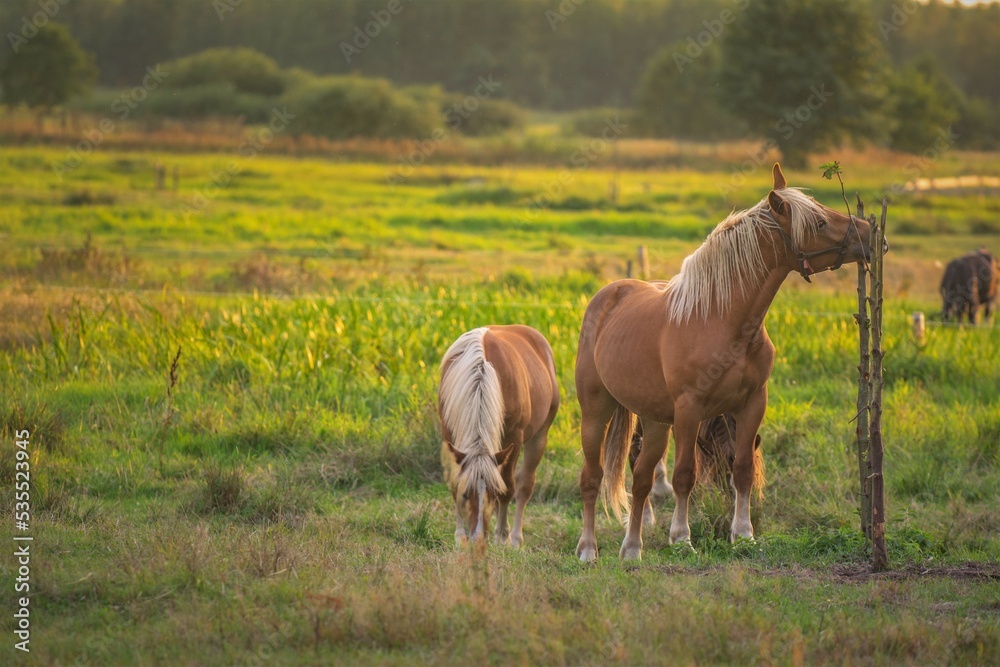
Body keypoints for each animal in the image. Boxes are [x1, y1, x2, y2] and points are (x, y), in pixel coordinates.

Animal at [439, 325, 559, 547]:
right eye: (466, 494)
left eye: (493, 493)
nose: (478, 536)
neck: (480, 374)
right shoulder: (448, 435)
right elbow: (454, 483)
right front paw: (460, 535)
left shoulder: (513, 439)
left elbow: (509, 487)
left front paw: (502, 535)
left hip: (539, 435)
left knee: (525, 485)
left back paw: (516, 538)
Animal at [575, 163, 879, 561]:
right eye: (819, 222)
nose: (871, 235)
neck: (721, 319)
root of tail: (608, 295)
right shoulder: (689, 410)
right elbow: (684, 476)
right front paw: (681, 538)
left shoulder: (752, 404)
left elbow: (743, 469)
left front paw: (744, 534)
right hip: (596, 410)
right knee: (592, 478)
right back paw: (588, 549)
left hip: (655, 421)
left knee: (640, 479)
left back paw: (632, 549)